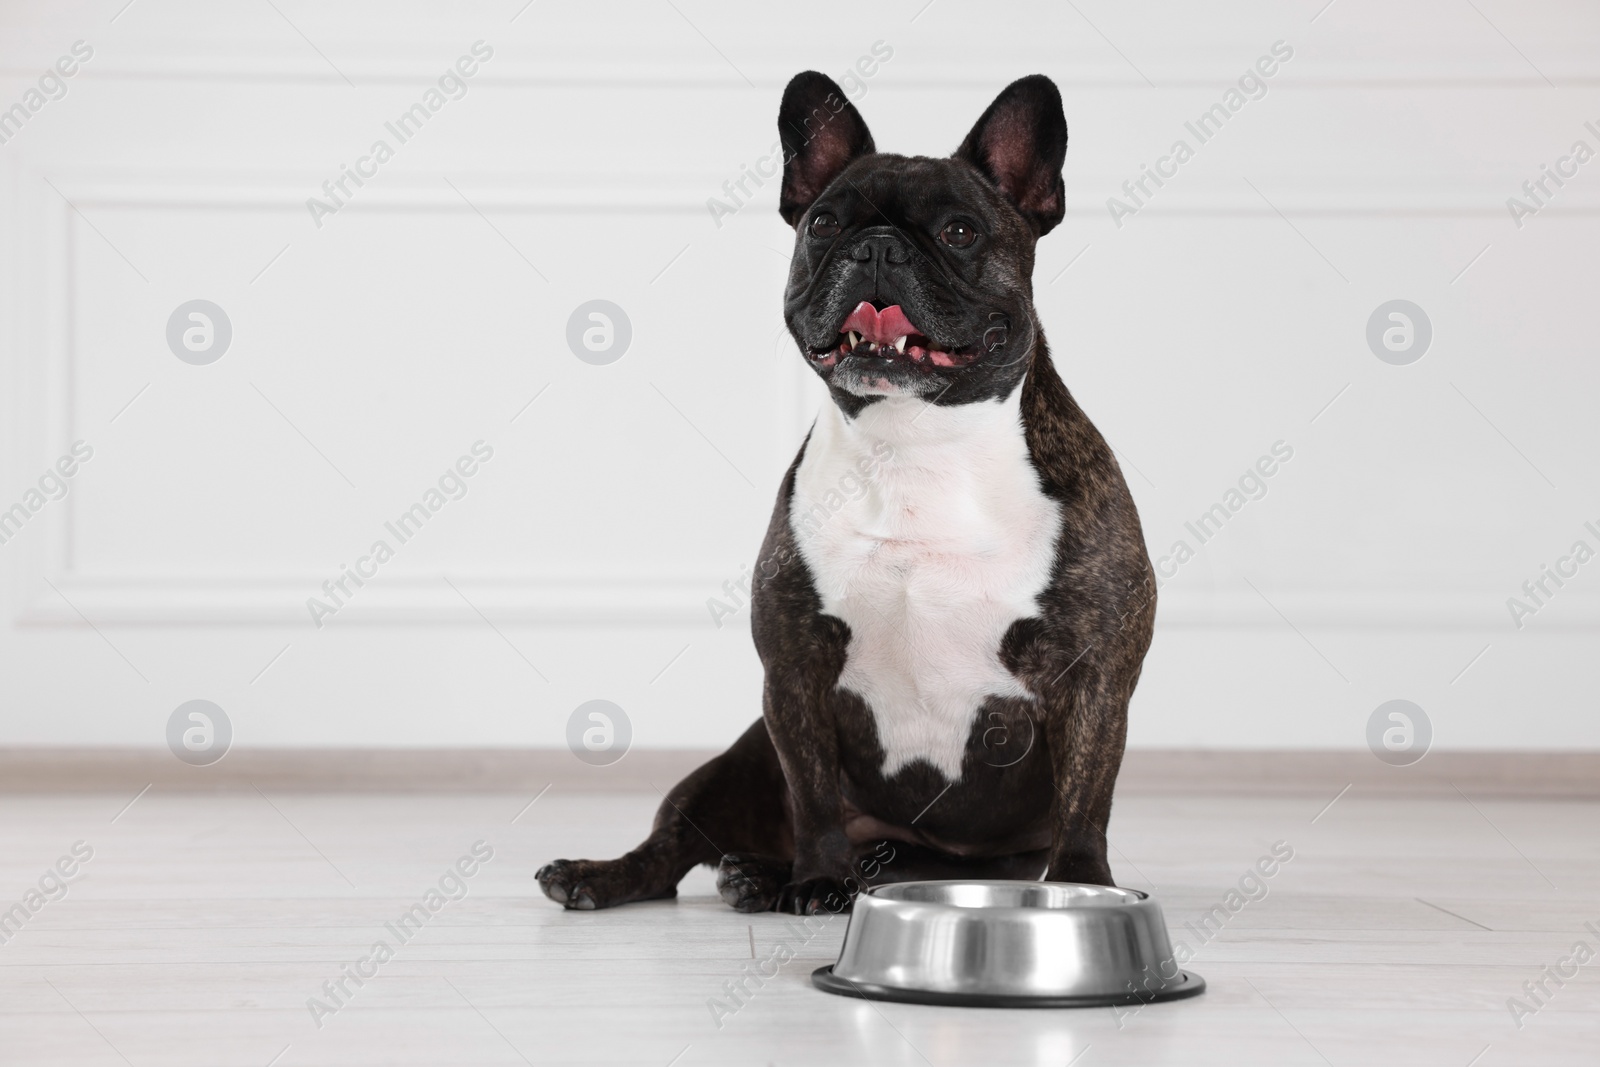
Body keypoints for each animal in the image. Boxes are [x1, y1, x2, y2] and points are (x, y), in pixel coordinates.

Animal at [537, 70, 1152, 915]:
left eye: (960, 231)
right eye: (824, 223)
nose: (877, 246)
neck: (916, 442)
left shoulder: (1093, 676)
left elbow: (1087, 796)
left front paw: (1084, 887)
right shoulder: (795, 667)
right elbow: (814, 791)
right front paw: (818, 877)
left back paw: (768, 874)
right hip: (736, 762)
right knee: (673, 848)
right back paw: (649, 875)